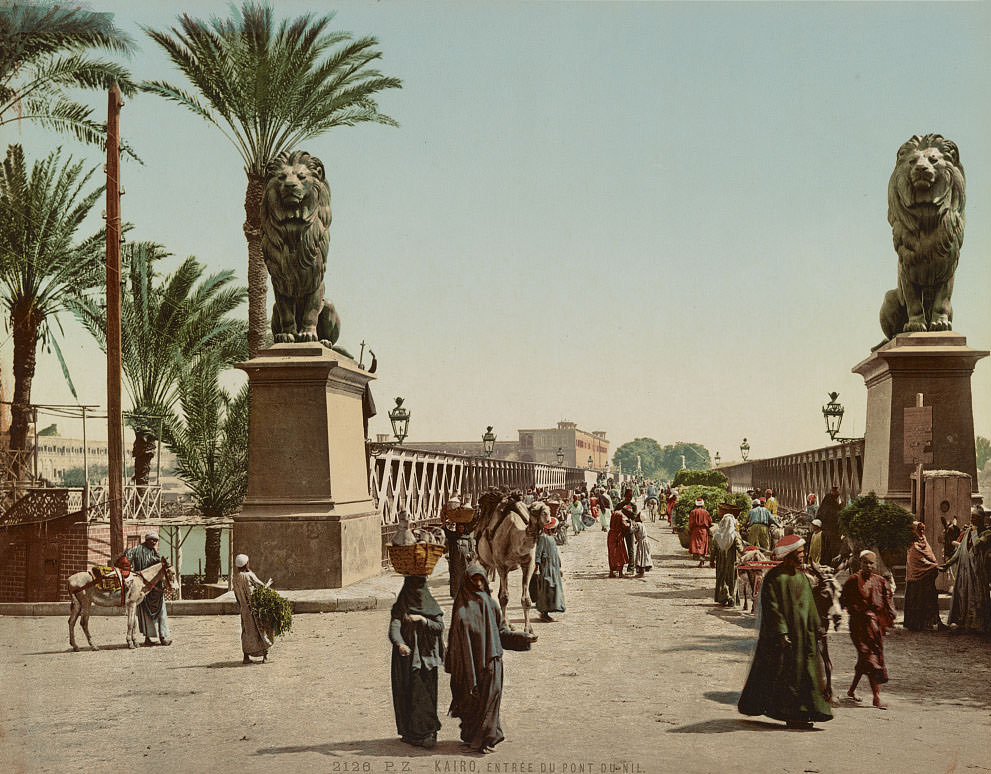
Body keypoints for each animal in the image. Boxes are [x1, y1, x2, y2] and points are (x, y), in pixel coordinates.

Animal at [474, 492, 556, 636]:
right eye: (533, 510)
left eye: (548, 508)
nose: (547, 516)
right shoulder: (501, 565)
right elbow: (504, 597)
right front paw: (505, 627)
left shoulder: (528, 565)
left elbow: (526, 599)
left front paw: (529, 630)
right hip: (484, 560)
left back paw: (510, 624)